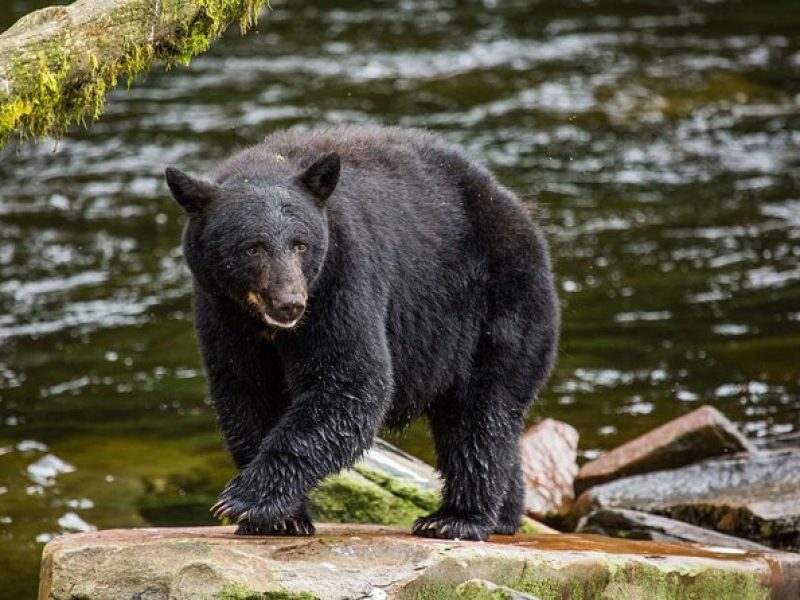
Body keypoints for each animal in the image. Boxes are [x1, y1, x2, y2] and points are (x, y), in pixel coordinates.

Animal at [166, 125, 560, 540]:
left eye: (300, 244)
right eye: (252, 247)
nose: (290, 303)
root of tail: (521, 213)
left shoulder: (342, 277)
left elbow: (351, 379)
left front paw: (247, 499)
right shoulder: (221, 311)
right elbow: (245, 390)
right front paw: (281, 518)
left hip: (499, 307)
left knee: (481, 413)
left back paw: (456, 517)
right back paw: (505, 515)